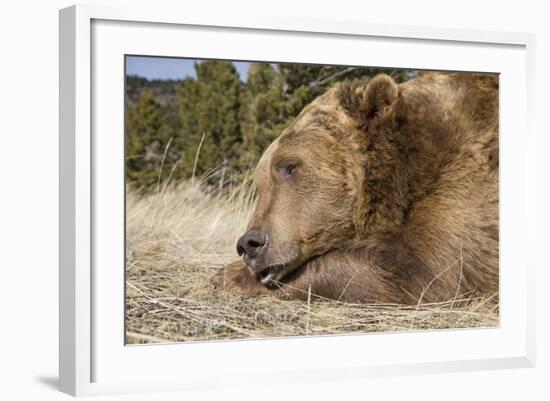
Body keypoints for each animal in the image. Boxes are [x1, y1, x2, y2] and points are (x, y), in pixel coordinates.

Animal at [212, 72, 500, 304]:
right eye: (260, 182)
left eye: (289, 166)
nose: (249, 244)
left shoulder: (464, 182)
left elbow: (426, 272)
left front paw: (229, 275)